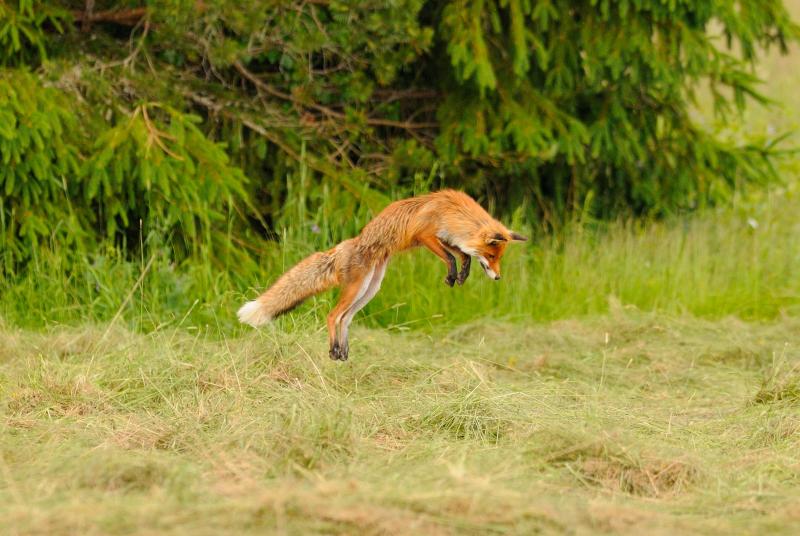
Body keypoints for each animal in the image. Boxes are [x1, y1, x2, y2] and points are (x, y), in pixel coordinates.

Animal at [238, 189, 527, 361]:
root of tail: (349, 244)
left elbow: (463, 254)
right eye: (492, 257)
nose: (498, 278)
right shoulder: (425, 235)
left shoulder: (447, 238)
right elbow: (452, 256)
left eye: (499, 258)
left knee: (345, 318)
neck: (452, 211)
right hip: (358, 287)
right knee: (332, 315)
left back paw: (343, 350)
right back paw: (333, 350)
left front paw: (461, 275)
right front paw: (453, 274)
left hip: (370, 288)